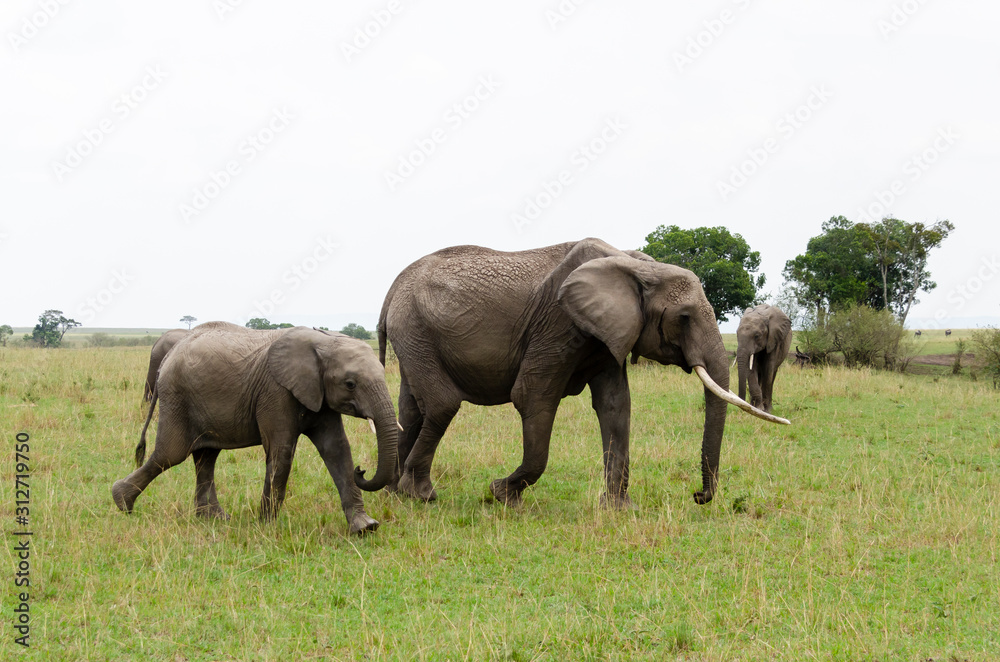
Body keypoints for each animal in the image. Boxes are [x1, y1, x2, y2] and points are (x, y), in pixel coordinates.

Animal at [112, 322, 397, 535]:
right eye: (350, 384)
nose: (363, 470)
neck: (323, 341)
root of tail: (169, 355)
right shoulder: (276, 392)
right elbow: (281, 451)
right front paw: (267, 527)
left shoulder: (319, 394)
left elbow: (336, 449)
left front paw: (365, 527)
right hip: (177, 397)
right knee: (170, 455)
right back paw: (122, 502)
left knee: (205, 457)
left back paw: (215, 518)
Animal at [371, 238, 788, 510]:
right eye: (684, 317)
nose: (698, 497)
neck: (636, 265)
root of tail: (391, 289)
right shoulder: (558, 322)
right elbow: (532, 396)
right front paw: (501, 494)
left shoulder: (606, 334)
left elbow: (616, 405)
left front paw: (618, 509)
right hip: (415, 328)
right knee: (442, 404)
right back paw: (419, 493)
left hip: (416, 335)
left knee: (413, 408)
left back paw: (396, 492)